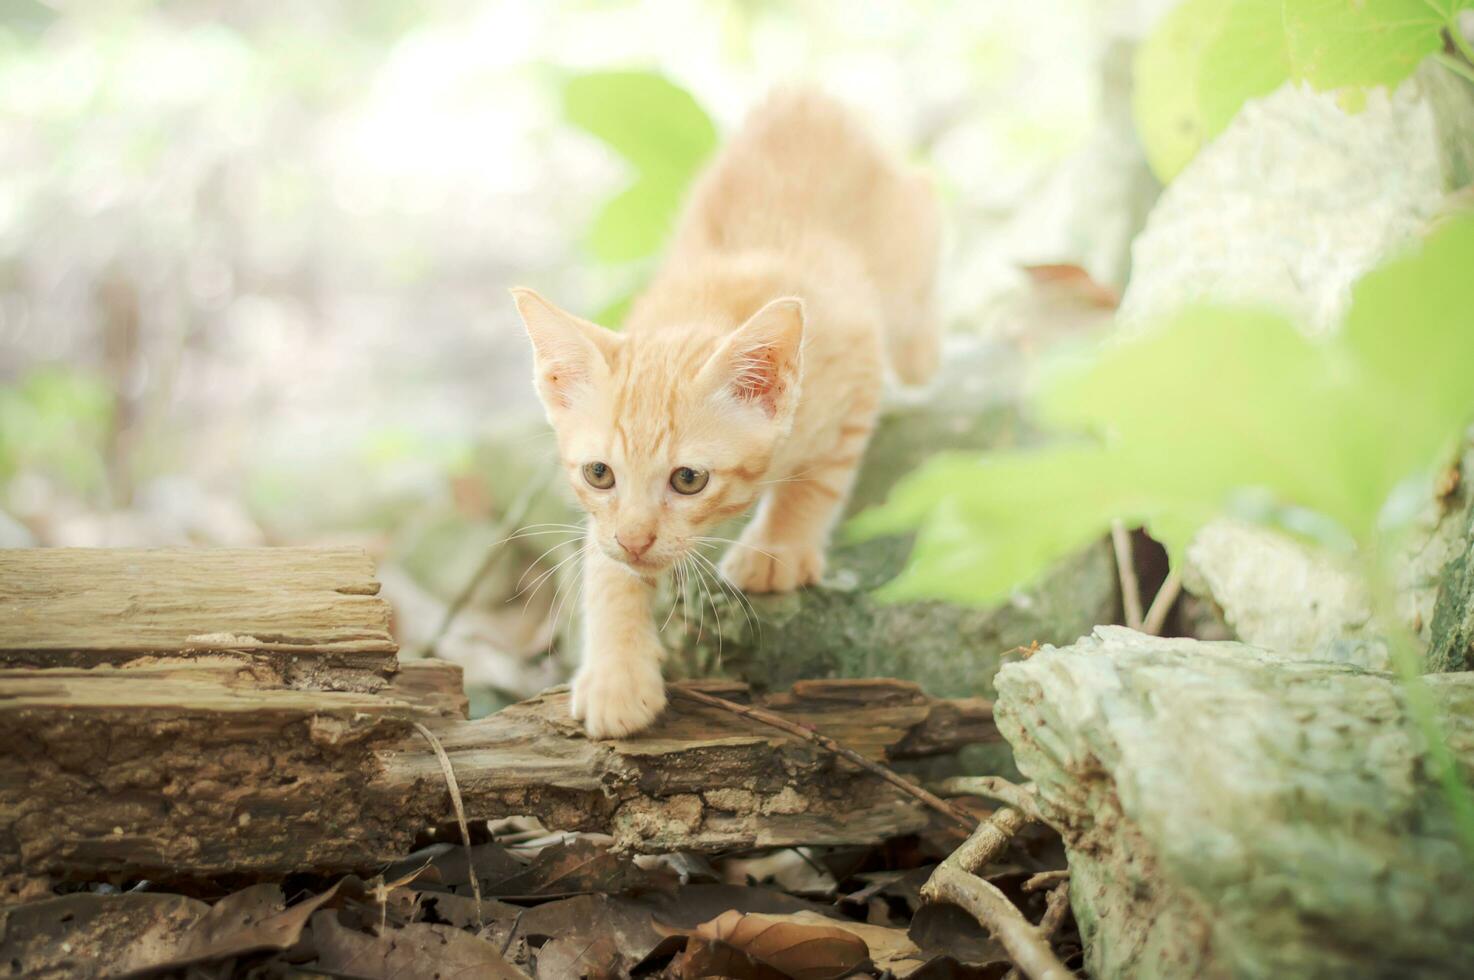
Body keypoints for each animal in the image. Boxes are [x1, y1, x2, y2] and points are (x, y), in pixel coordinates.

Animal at [512, 91, 937, 733]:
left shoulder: (856, 364)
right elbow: (605, 565)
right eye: (599, 473)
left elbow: (818, 480)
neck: (703, 307)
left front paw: (781, 545)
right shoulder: (603, 522)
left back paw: (922, 363)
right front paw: (617, 671)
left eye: (689, 480)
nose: (636, 540)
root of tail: (806, 97)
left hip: (905, 253)